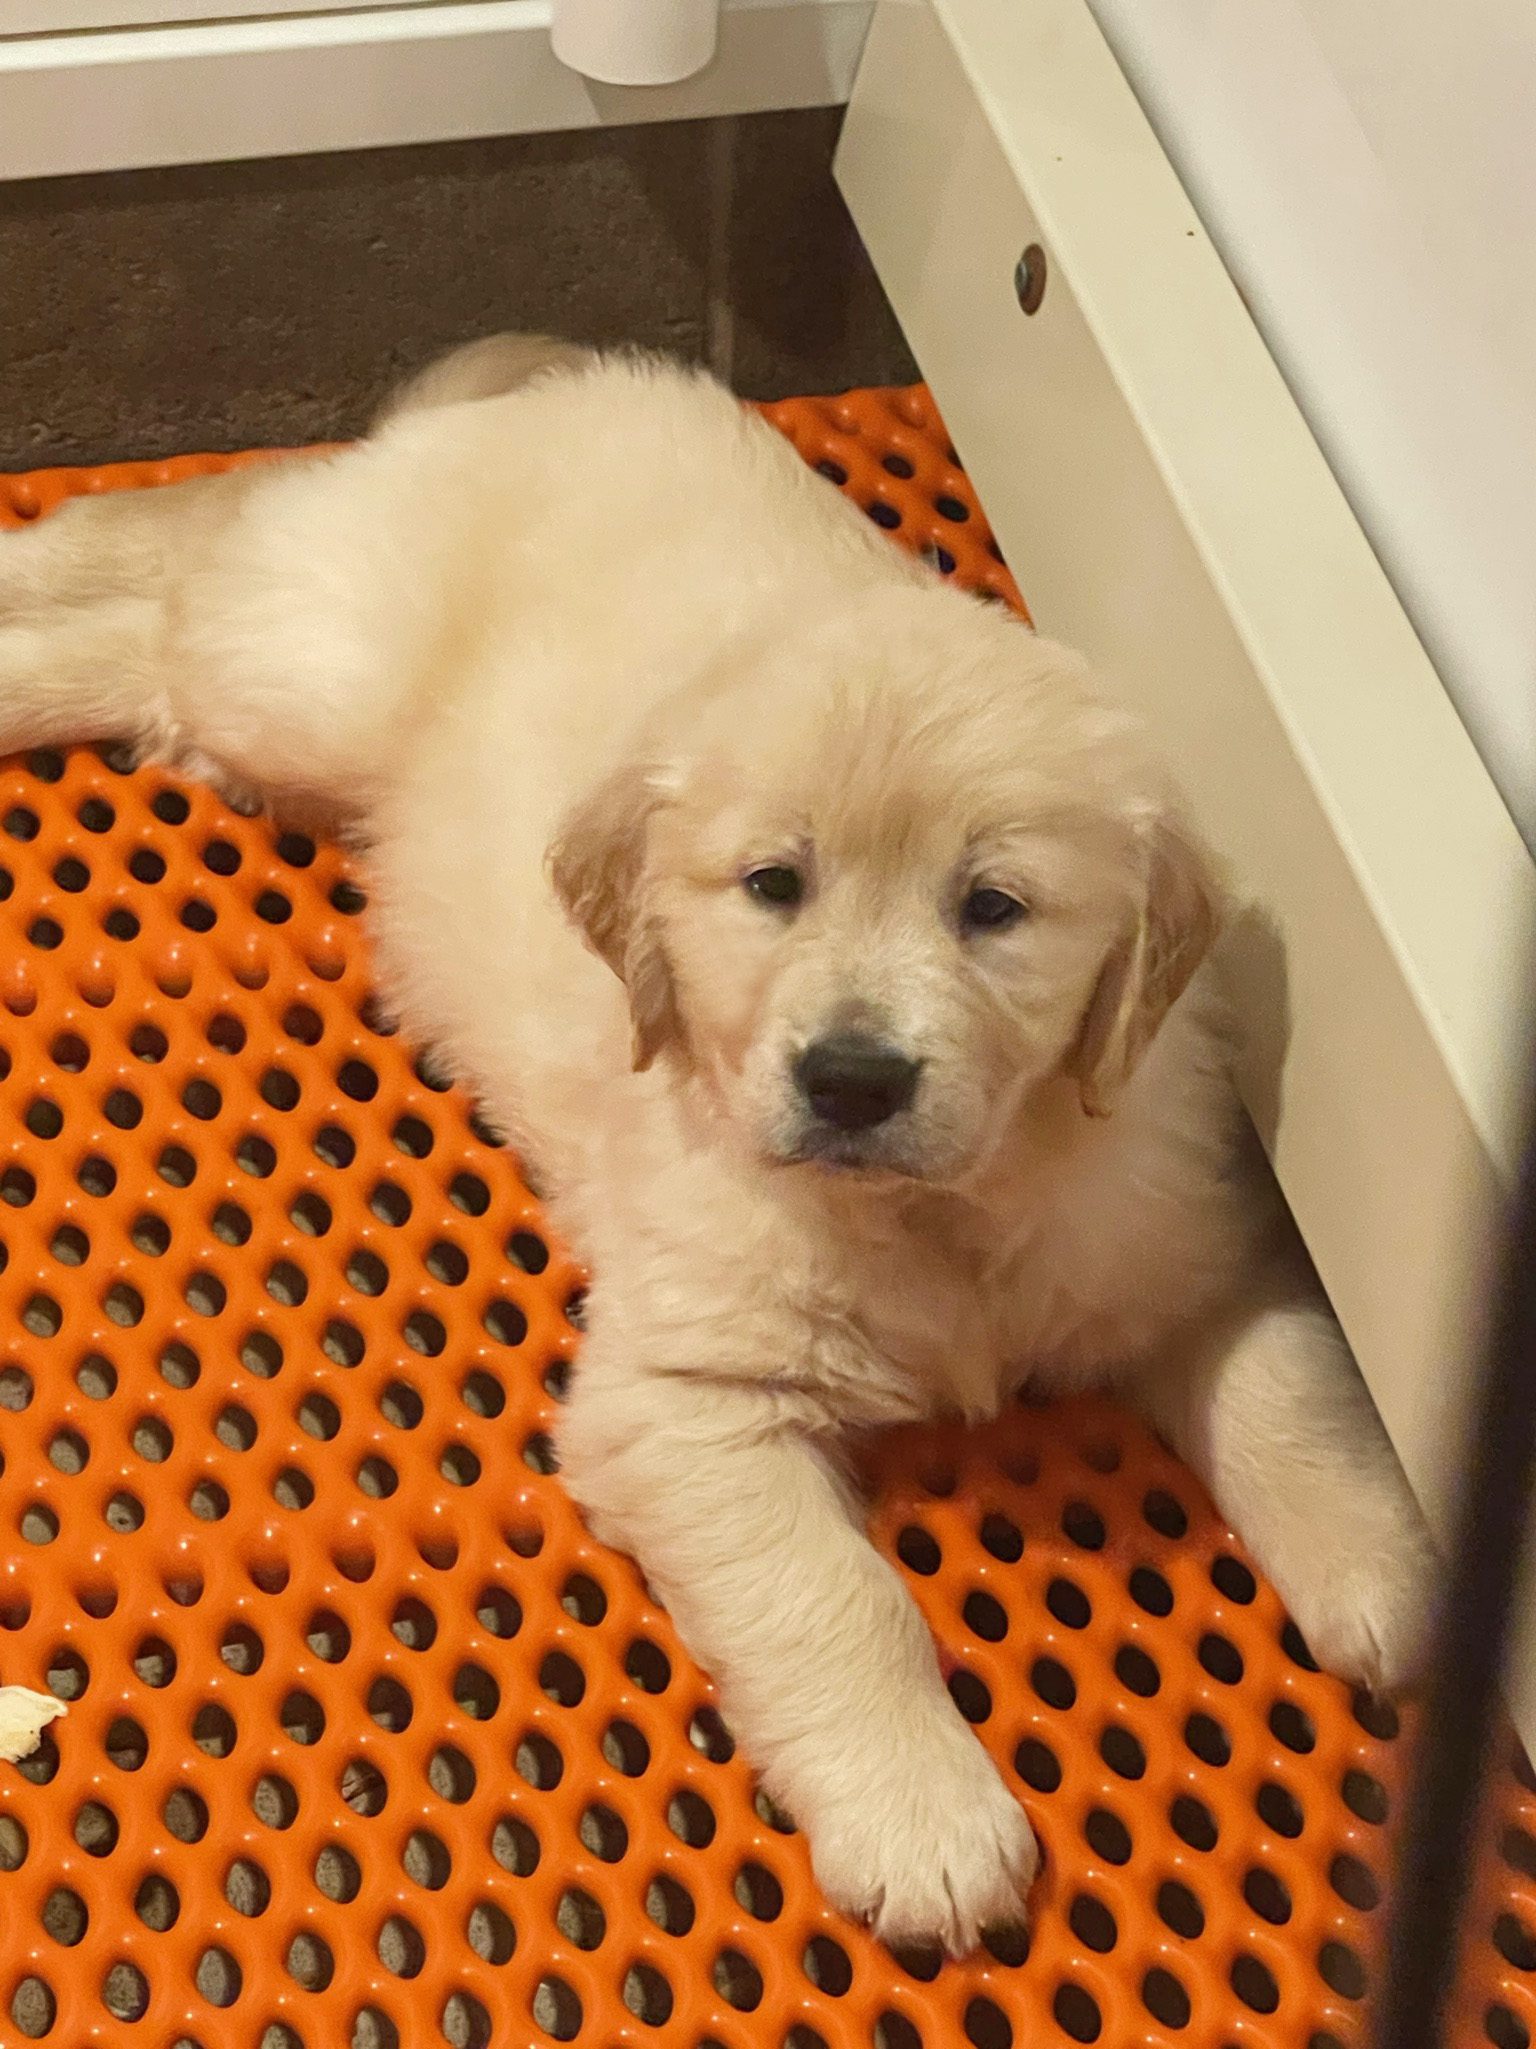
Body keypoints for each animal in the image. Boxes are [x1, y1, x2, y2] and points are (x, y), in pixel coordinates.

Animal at [0, 340, 1441, 1950]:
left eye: (993, 908)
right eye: (773, 885)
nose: (853, 1079)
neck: (939, 1213)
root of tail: (552, 379)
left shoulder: (1195, 1234)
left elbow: (1298, 1390)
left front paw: (1390, 1569)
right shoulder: (685, 1402)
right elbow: (834, 1595)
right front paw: (923, 1815)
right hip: (311, 672)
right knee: (177, 586)